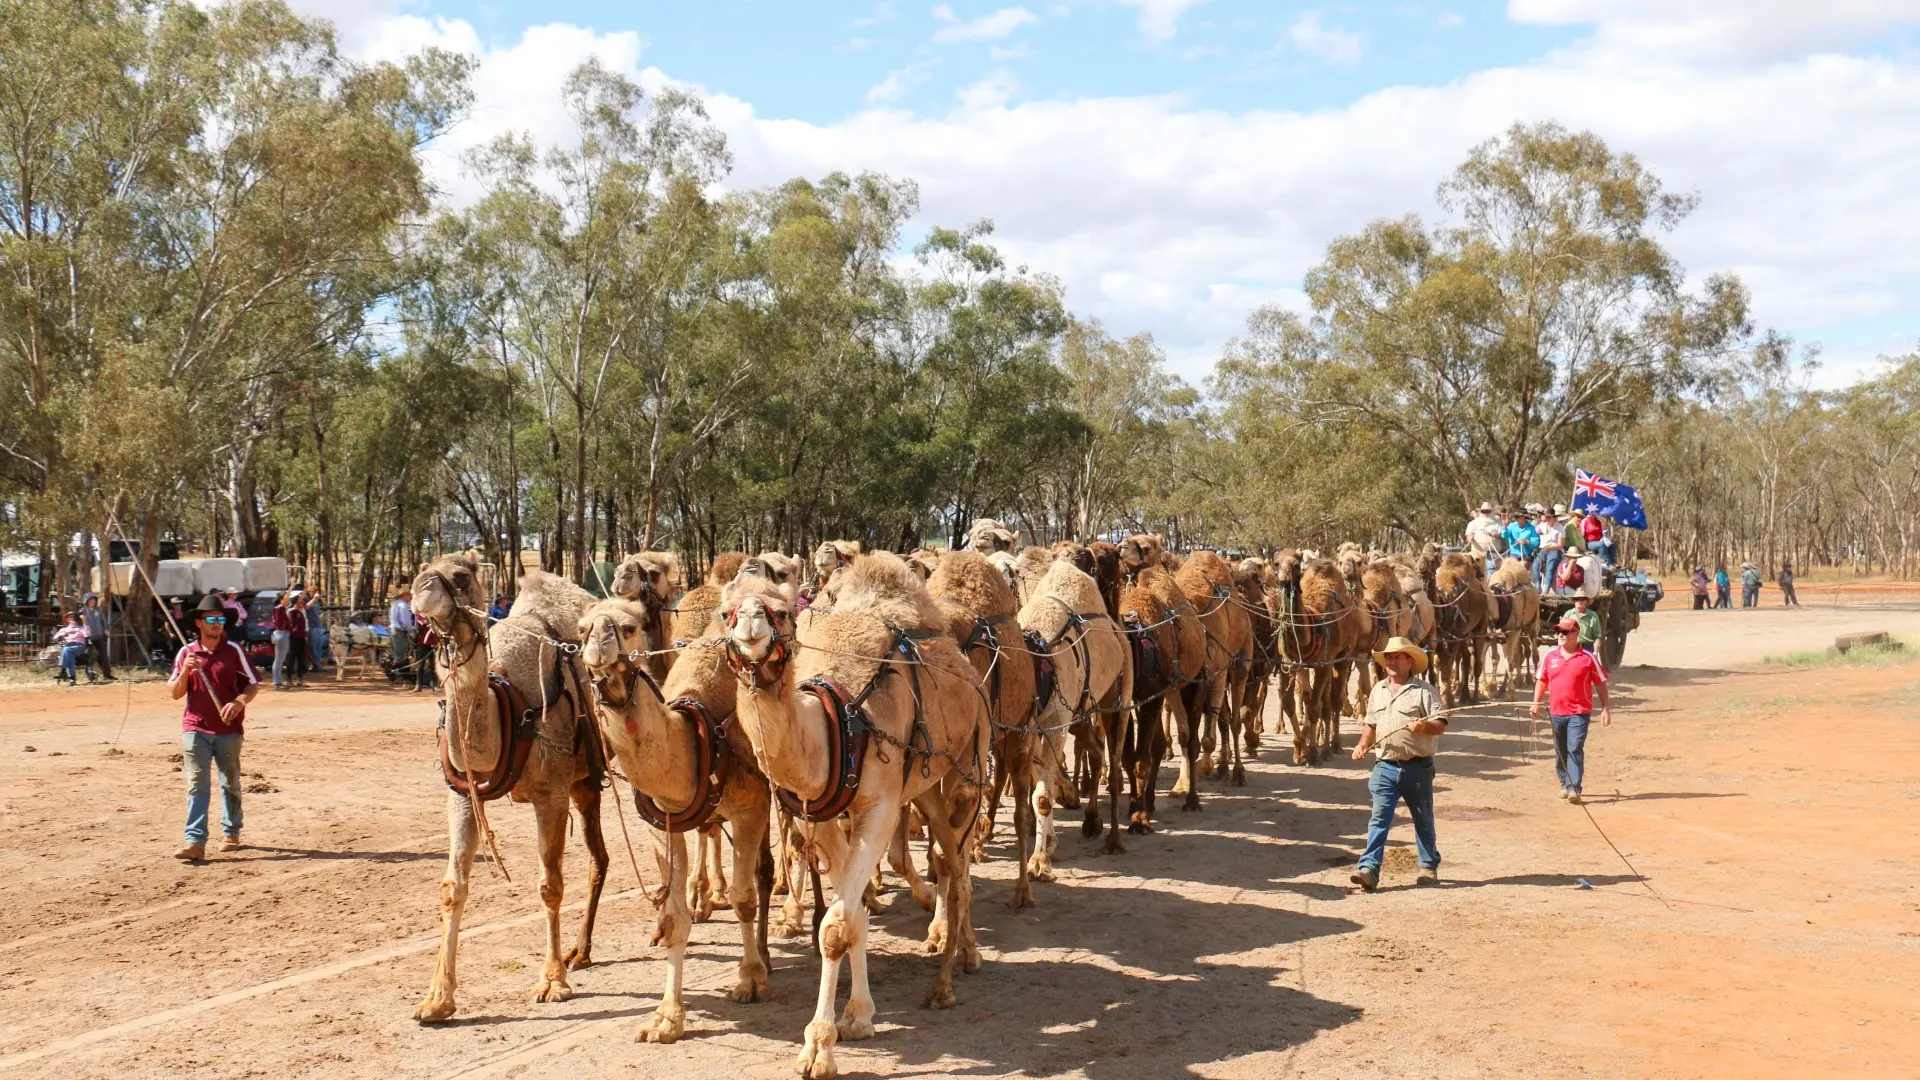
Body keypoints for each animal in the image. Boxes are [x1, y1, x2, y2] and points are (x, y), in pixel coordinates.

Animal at [410, 555, 607, 1023]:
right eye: (421, 569)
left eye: (462, 575)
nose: (422, 589)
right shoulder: (463, 795)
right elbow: (452, 889)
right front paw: (436, 999)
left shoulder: (551, 793)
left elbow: (550, 885)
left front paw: (552, 983)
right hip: (585, 782)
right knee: (601, 859)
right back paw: (581, 951)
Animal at [576, 596, 773, 1043]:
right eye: (580, 629)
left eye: (629, 627)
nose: (598, 643)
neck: (699, 743)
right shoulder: (662, 826)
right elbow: (674, 917)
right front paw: (666, 1018)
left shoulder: (751, 809)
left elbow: (744, 898)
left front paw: (751, 979)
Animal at [721, 553, 990, 1080]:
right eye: (726, 612)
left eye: (779, 611)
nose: (750, 624)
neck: (834, 725)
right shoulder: (822, 816)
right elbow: (855, 916)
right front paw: (859, 1017)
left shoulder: (879, 808)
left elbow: (835, 927)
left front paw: (818, 1048)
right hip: (923, 787)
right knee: (947, 856)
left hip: (967, 761)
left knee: (958, 865)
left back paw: (950, 974)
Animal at [1018, 556, 1133, 868]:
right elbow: (1039, 782)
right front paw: (1050, 845)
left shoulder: (1056, 723)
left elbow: (1042, 795)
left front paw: (1039, 862)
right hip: (1080, 712)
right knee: (1095, 752)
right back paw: (1092, 820)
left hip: (1115, 696)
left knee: (1113, 761)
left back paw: (1114, 839)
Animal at [1484, 557, 1541, 696]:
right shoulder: (1495, 632)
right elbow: (1496, 658)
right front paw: (1495, 687)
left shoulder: (1513, 631)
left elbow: (1510, 662)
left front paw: (1511, 693)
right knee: (1517, 655)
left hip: (1532, 626)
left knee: (1534, 655)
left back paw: (1532, 685)